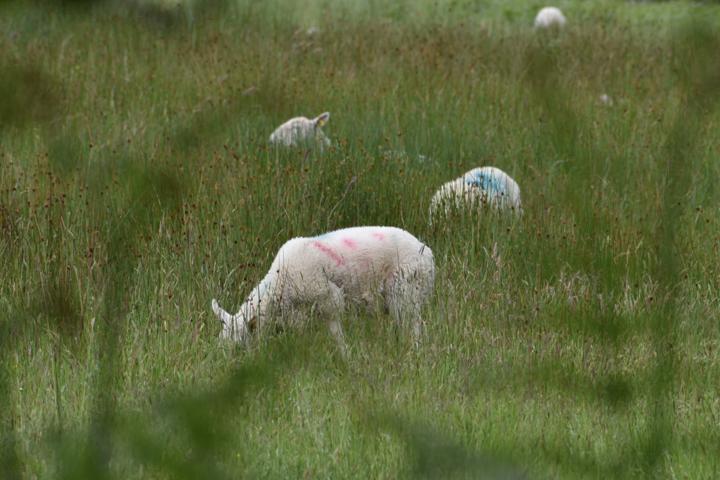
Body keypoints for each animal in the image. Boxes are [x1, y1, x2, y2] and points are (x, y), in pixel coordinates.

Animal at [211, 226, 435, 352]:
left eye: (240, 346)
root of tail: (428, 253)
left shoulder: (329, 301)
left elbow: (337, 336)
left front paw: (345, 357)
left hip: (406, 290)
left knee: (415, 327)